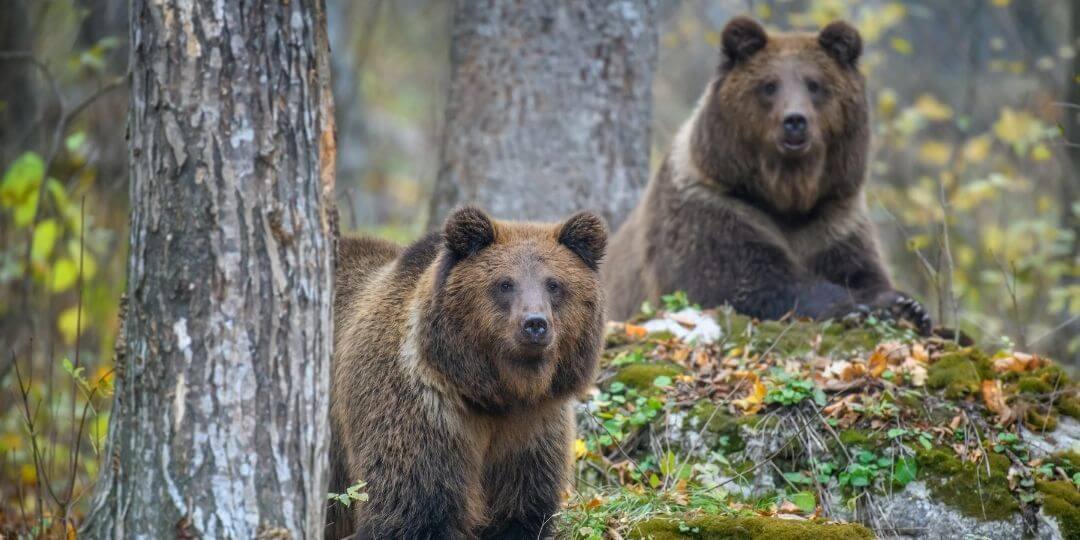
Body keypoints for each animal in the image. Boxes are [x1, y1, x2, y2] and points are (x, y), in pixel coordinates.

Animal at [326, 206, 607, 539]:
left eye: (554, 284)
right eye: (504, 283)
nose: (535, 324)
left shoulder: (531, 430)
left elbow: (520, 510)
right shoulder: (419, 411)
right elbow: (414, 511)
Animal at [603, 16, 931, 334]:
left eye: (814, 84)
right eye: (769, 85)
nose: (795, 121)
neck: (785, 199)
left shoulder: (833, 220)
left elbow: (862, 270)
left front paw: (908, 306)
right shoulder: (712, 208)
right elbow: (744, 280)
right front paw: (857, 306)